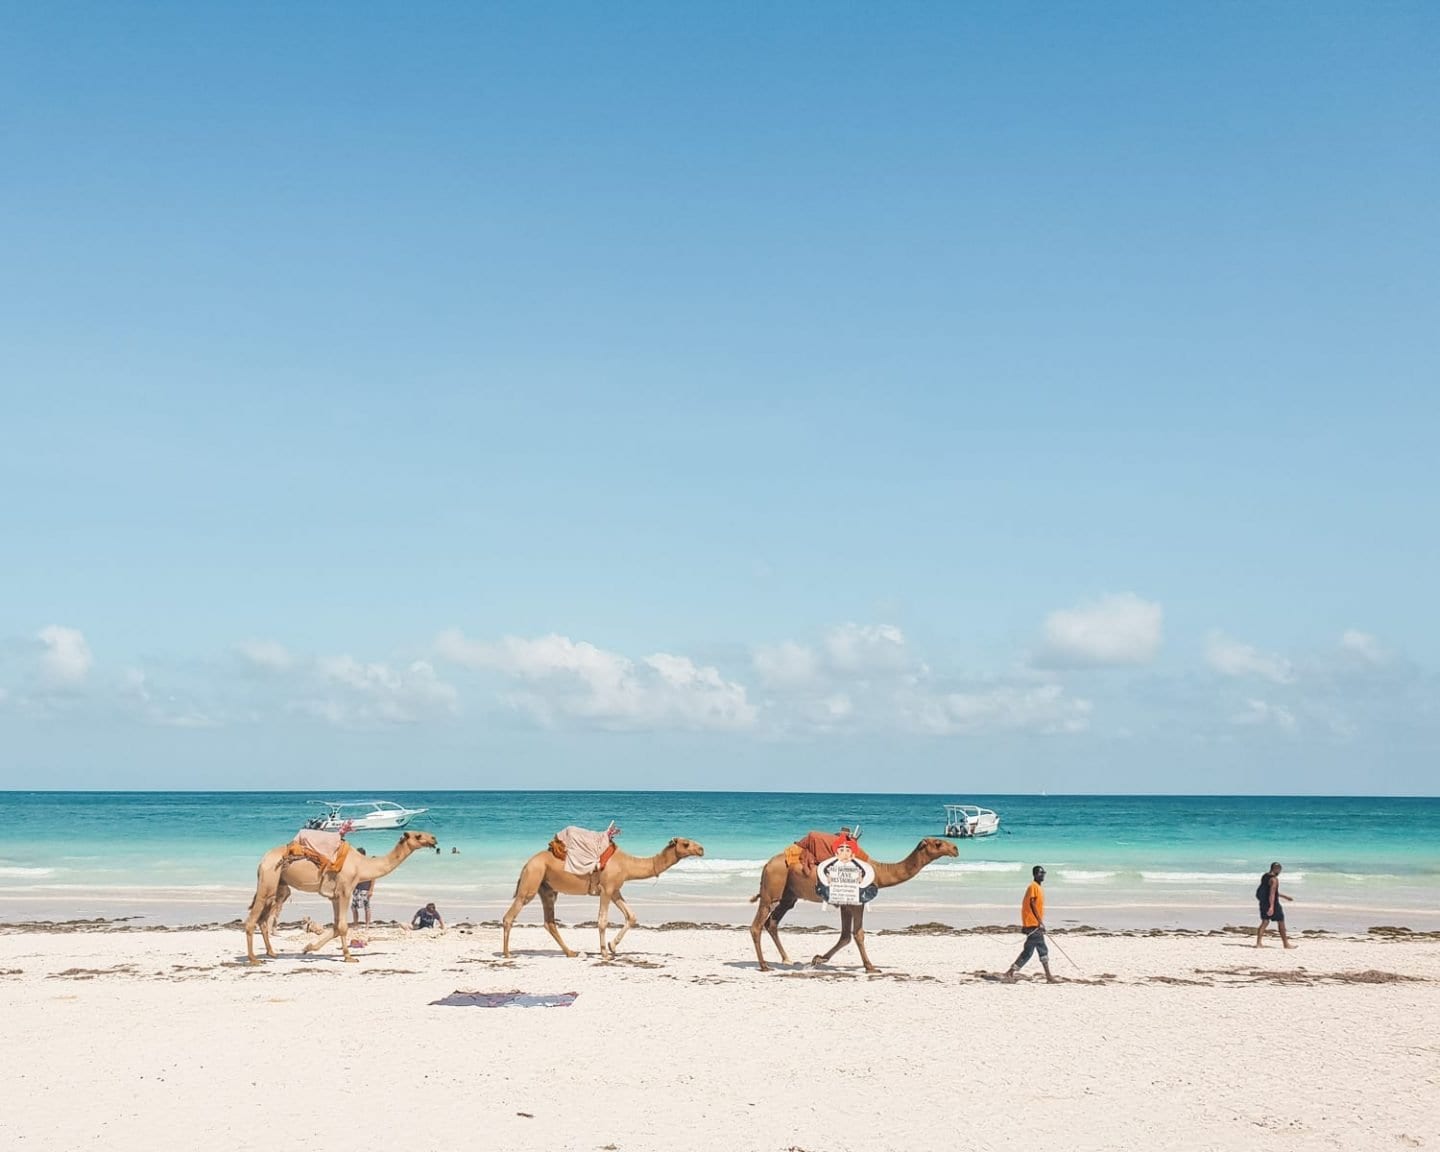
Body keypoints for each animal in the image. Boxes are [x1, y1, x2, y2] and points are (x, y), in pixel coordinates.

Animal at [241, 829, 434, 961]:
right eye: (418, 835)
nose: (434, 839)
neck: (361, 865)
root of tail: (262, 861)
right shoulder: (345, 891)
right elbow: (342, 926)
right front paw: (349, 957)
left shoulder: (334, 895)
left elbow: (335, 926)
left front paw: (308, 947)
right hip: (269, 878)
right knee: (252, 919)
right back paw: (253, 959)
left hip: (279, 885)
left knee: (263, 919)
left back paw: (271, 953)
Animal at [504, 835, 705, 956]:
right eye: (686, 843)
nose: (701, 849)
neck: (627, 864)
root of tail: (527, 863)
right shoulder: (606, 889)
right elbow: (602, 921)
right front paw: (604, 953)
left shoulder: (615, 890)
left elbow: (631, 916)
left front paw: (612, 946)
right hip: (532, 880)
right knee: (511, 915)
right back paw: (507, 954)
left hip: (546, 889)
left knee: (549, 922)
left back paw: (571, 952)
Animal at [748, 835, 961, 973]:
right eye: (938, 843)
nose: (955, 848)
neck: (879, 872)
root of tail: (767, 864)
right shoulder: (857, 903)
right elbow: (858, 934)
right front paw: (871, 967)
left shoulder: (845, 904)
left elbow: (845, 937)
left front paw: (818, 959)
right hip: (771, 890)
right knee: (757, 925)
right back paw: (764, 966)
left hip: (788, 895)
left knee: (772, 923)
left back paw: (787, 959)